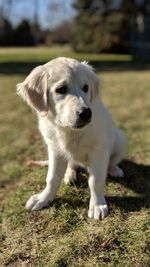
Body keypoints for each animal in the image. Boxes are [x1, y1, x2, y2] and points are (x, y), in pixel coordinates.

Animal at [16, 57, 126, 221]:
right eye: (61, 89)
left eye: (85, 88)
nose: (86, 113)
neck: (69, 130)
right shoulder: (55, 149)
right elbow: (52, 177)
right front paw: (43, 198)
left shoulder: (98, 150)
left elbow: (96, 180)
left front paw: (97, 205)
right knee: (71, 164)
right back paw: (69, 174)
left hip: (120, 139)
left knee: (111, 161)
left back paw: (114, 169)